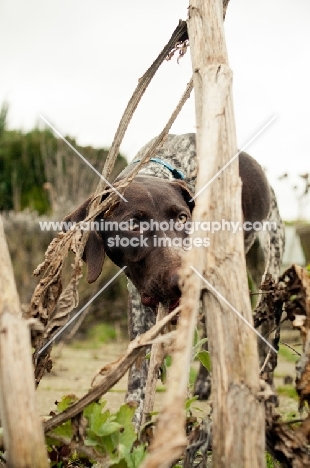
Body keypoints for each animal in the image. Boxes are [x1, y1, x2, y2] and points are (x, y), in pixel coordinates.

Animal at [63, 133, 286, 424]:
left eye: (182, 218)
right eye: (133, 225)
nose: (183, 280)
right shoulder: (139, 300)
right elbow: (140, 365)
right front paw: (136, 417)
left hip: (271, 260)